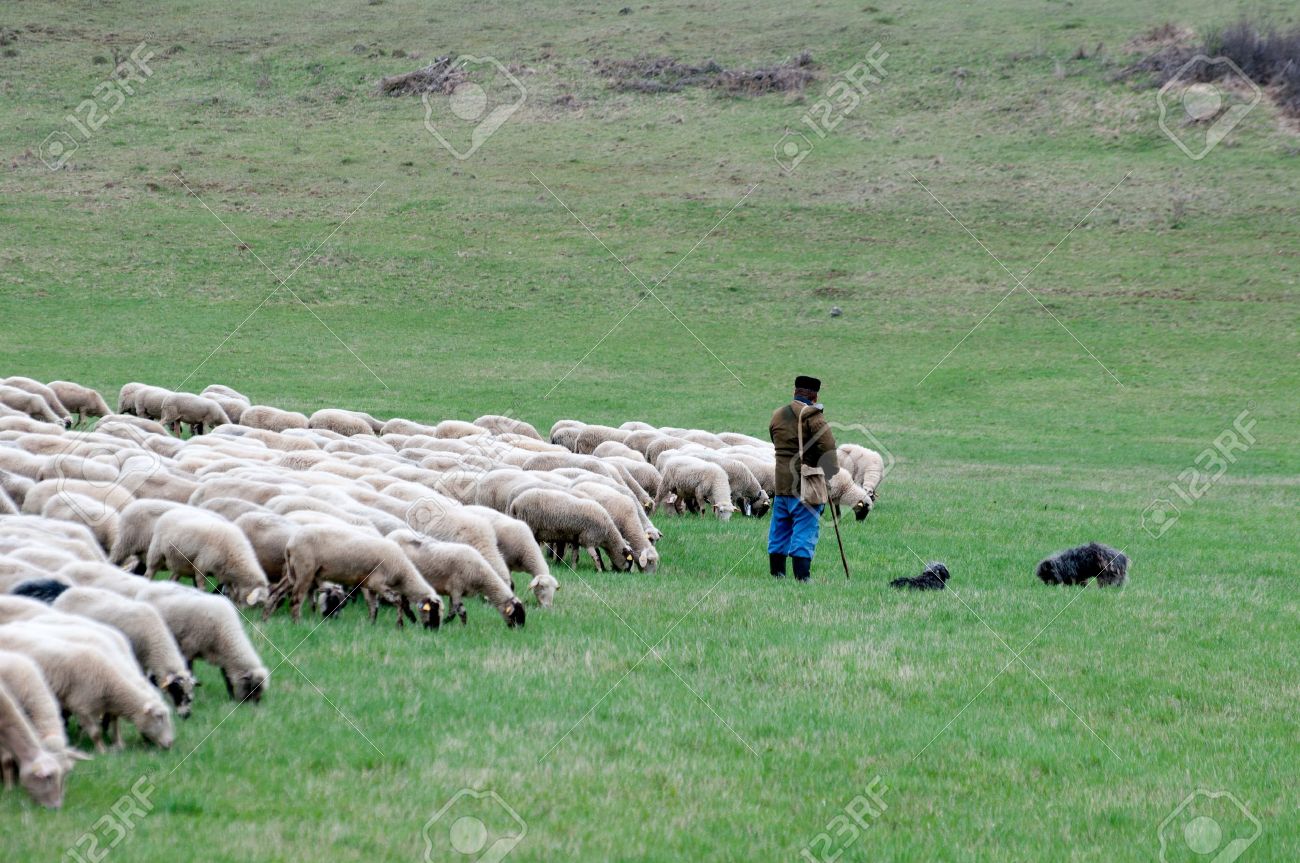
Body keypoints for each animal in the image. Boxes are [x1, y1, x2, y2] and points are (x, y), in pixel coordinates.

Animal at [0, 623, 174, 753]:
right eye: (159, 716)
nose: (170, 744)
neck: (110, 680)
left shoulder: (108, 704)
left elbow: (114, 721)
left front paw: (118, 743)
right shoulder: (82, 705)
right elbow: (95, 732)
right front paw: (102, 750)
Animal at [264, 525, 442, 628]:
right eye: (433, 610)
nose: (434, 630)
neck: (402, 571)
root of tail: (290, 544)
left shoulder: (370, 585)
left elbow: (373, 606)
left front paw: (372, 624)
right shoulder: (378, 583)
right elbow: (397, 600)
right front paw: (400, 625)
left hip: (293, 572)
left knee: (275, 592)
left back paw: (265, 618)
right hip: (304, 570)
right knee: (295, 599)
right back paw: (297, 623)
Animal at [388, 529, 524, 627]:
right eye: (516, 614)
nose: (520, 630)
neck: (481, 574)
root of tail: (391, 535)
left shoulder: (454, 592)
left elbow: (457, 611)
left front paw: (457, 625)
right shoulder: (456, 588)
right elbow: (458, 612)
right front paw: (453, 624)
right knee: (404, 603)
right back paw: (411, 621)